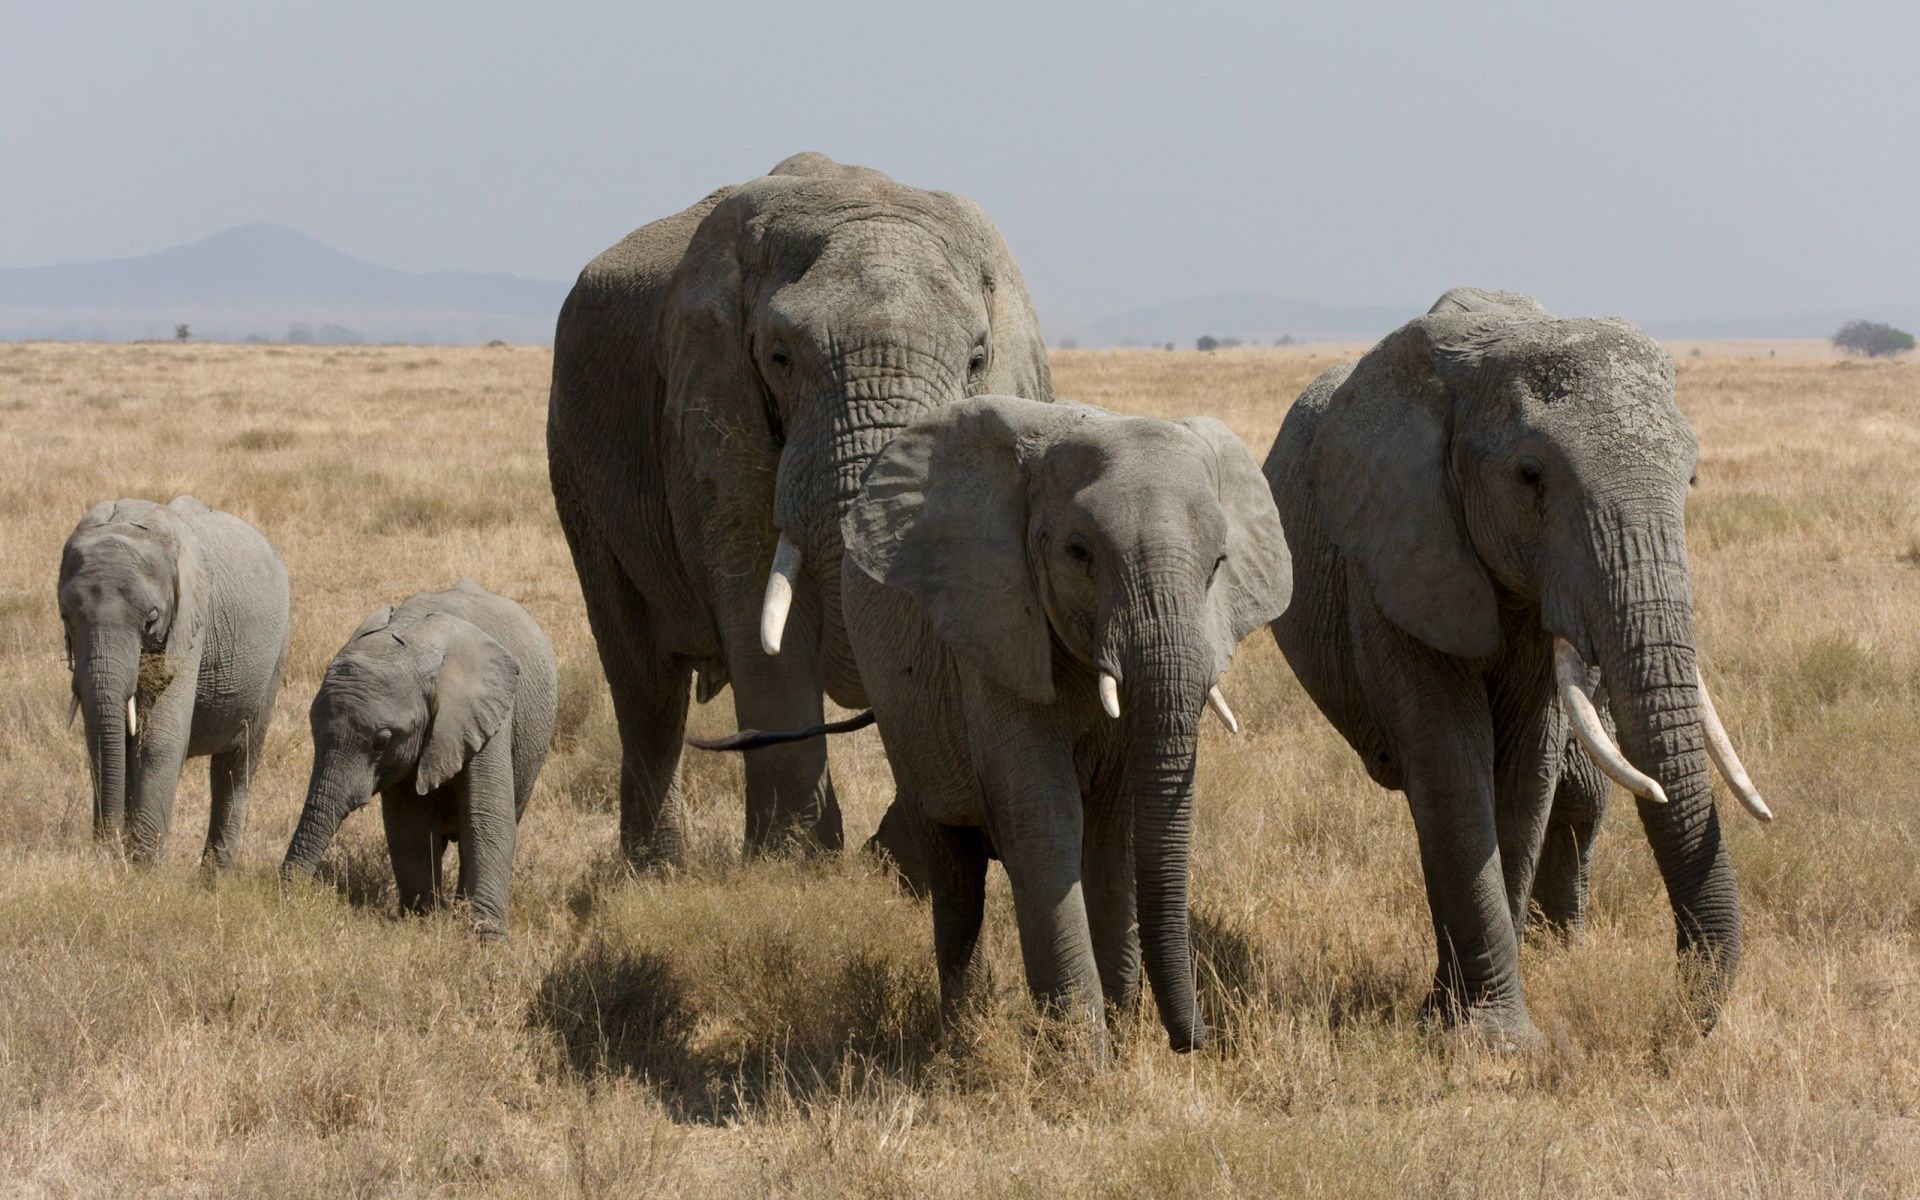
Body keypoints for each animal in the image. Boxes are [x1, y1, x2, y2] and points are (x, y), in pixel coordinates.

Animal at [280, 579, 560, 936]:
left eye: (382, 742)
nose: (289, 894)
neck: (410, 635)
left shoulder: (488, 715)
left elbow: (487, 819)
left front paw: (485, 940)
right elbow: (409, 825)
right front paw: (422, 922)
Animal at [549, 149, 1059, 864]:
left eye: (978, 359)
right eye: (779, 357)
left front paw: (900, 856)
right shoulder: (712, 409)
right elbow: (757, 614)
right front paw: (795, 864)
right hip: (576, 462)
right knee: (645, 684)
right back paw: (657, 870)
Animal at [1259, 288, 1766, 1036]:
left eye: (1693, 477)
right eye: (1530, 477)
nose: (1676, 1017)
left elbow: (1528, 765)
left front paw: (1471, 1020)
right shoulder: (1394, 557)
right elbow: (1451, 757)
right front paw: (1488, 1036)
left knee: (1573, 788)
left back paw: (1534, 954)